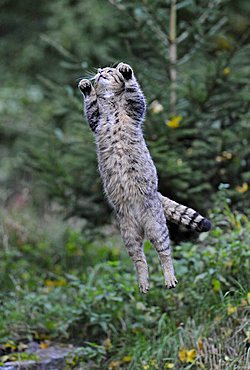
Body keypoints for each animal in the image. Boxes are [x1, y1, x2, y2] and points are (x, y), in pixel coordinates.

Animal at [78, 62, 211, 292]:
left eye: (110, 71)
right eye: (101, 70)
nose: (101, 72)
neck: (111, 102)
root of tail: (157, 195)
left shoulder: (135, 109)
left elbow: (134, 91)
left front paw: (126, 71)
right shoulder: (95, 119)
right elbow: (91, 106)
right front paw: (86, 86)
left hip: (157, 227)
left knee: (164, 253)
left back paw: (169, 279)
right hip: (129, 235)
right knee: (140, 259)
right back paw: (143, 283)